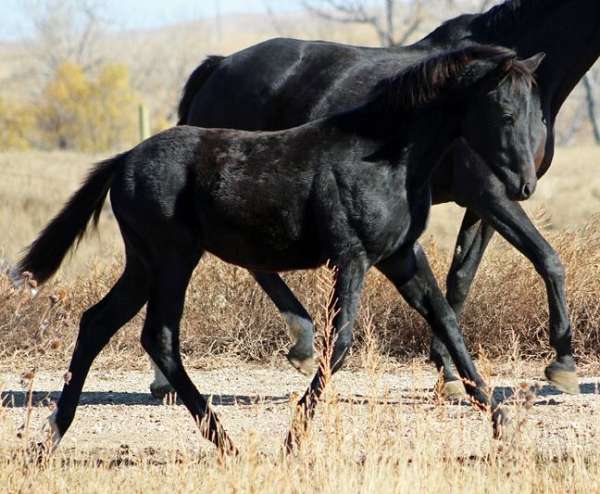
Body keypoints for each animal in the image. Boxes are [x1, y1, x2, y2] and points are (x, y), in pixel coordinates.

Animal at [19, 47, 544, 456]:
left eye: (536, 114)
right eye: (505, 114)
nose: (524, 185)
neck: (387, 156)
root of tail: (124, 158)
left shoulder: (401, 257)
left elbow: (449, 324)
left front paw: (504, 426)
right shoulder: (351, 258)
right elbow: (340, 343)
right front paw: (291, 441)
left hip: (144, 264)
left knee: (97, 323)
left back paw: (51, 436)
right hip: (172, 259)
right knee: (159, 337)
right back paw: (224, 440)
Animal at [162, 0, 600, 396]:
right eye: (506, 115)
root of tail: (219, 66)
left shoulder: (490, 200)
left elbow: (459, 279)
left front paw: (448, 370)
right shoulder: (492, 192)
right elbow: (548, 259)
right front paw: (562, 364)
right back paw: (295, 345)